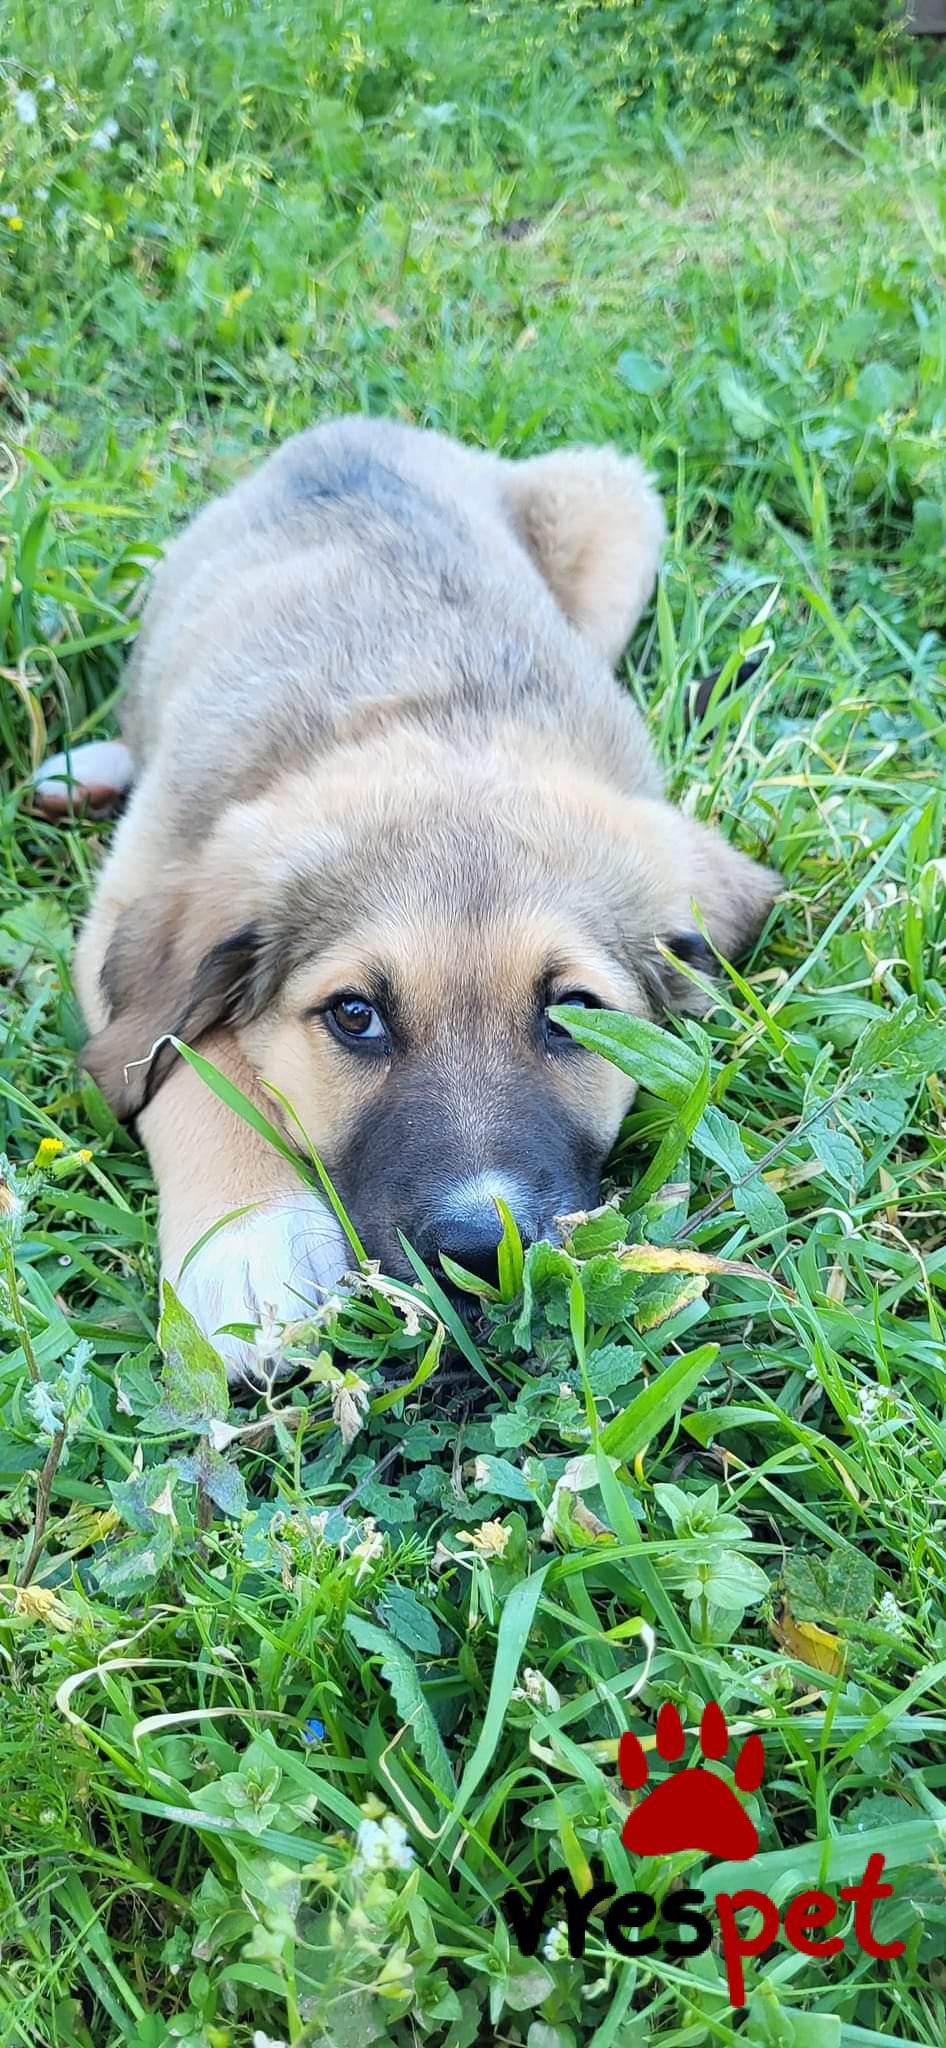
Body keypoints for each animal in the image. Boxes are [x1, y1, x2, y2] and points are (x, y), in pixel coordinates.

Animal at [36, 417, 779, 1377]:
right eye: (355, 1016)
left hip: (618, 520)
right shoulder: (132, 900)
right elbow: (186, 1057)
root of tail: (356, 426)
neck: (433, 714)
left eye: (574, 1012)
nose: (479, 1254)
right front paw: (247, 1239)